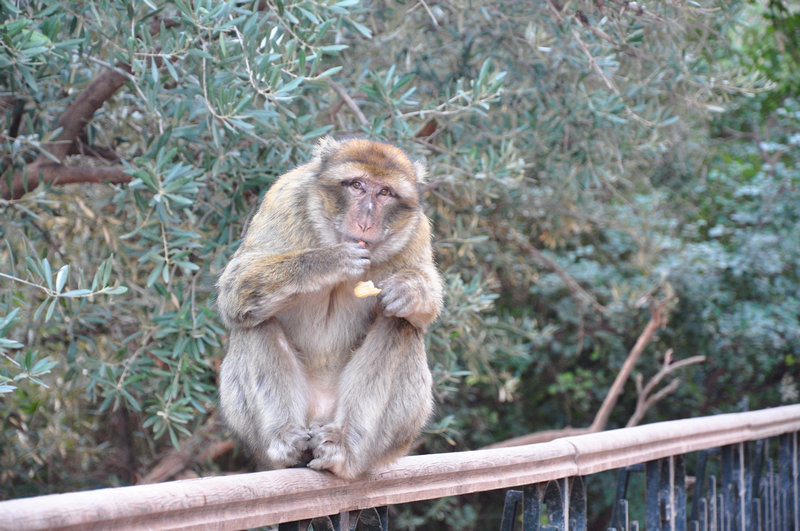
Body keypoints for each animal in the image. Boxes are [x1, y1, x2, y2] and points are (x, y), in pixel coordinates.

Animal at [216, 137, 444, 482]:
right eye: (357, 185)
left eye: (384, 192)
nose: (365, 220)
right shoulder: (284, 198)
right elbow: (235, 285)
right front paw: (329, 261)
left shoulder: (416, 229)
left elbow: (424, 305)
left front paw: (409, 290)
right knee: (253, 320)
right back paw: (285, 440)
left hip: (393, 437)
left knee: (399, 324)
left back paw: (344, 447)